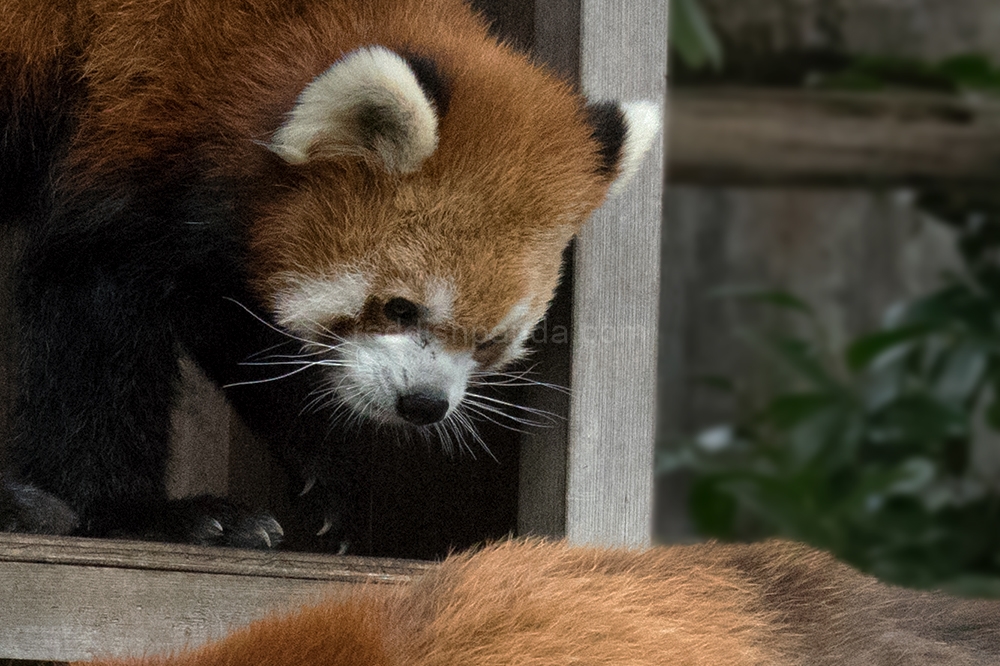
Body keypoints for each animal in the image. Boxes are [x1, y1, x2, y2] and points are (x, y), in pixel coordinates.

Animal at [0, 1, 660, 548]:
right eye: (400, 307)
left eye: (491, 340)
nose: (424, 404)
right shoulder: (133, 119)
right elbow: (93, 313)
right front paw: (139, 512)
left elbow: (239, 328)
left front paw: (325, 479)